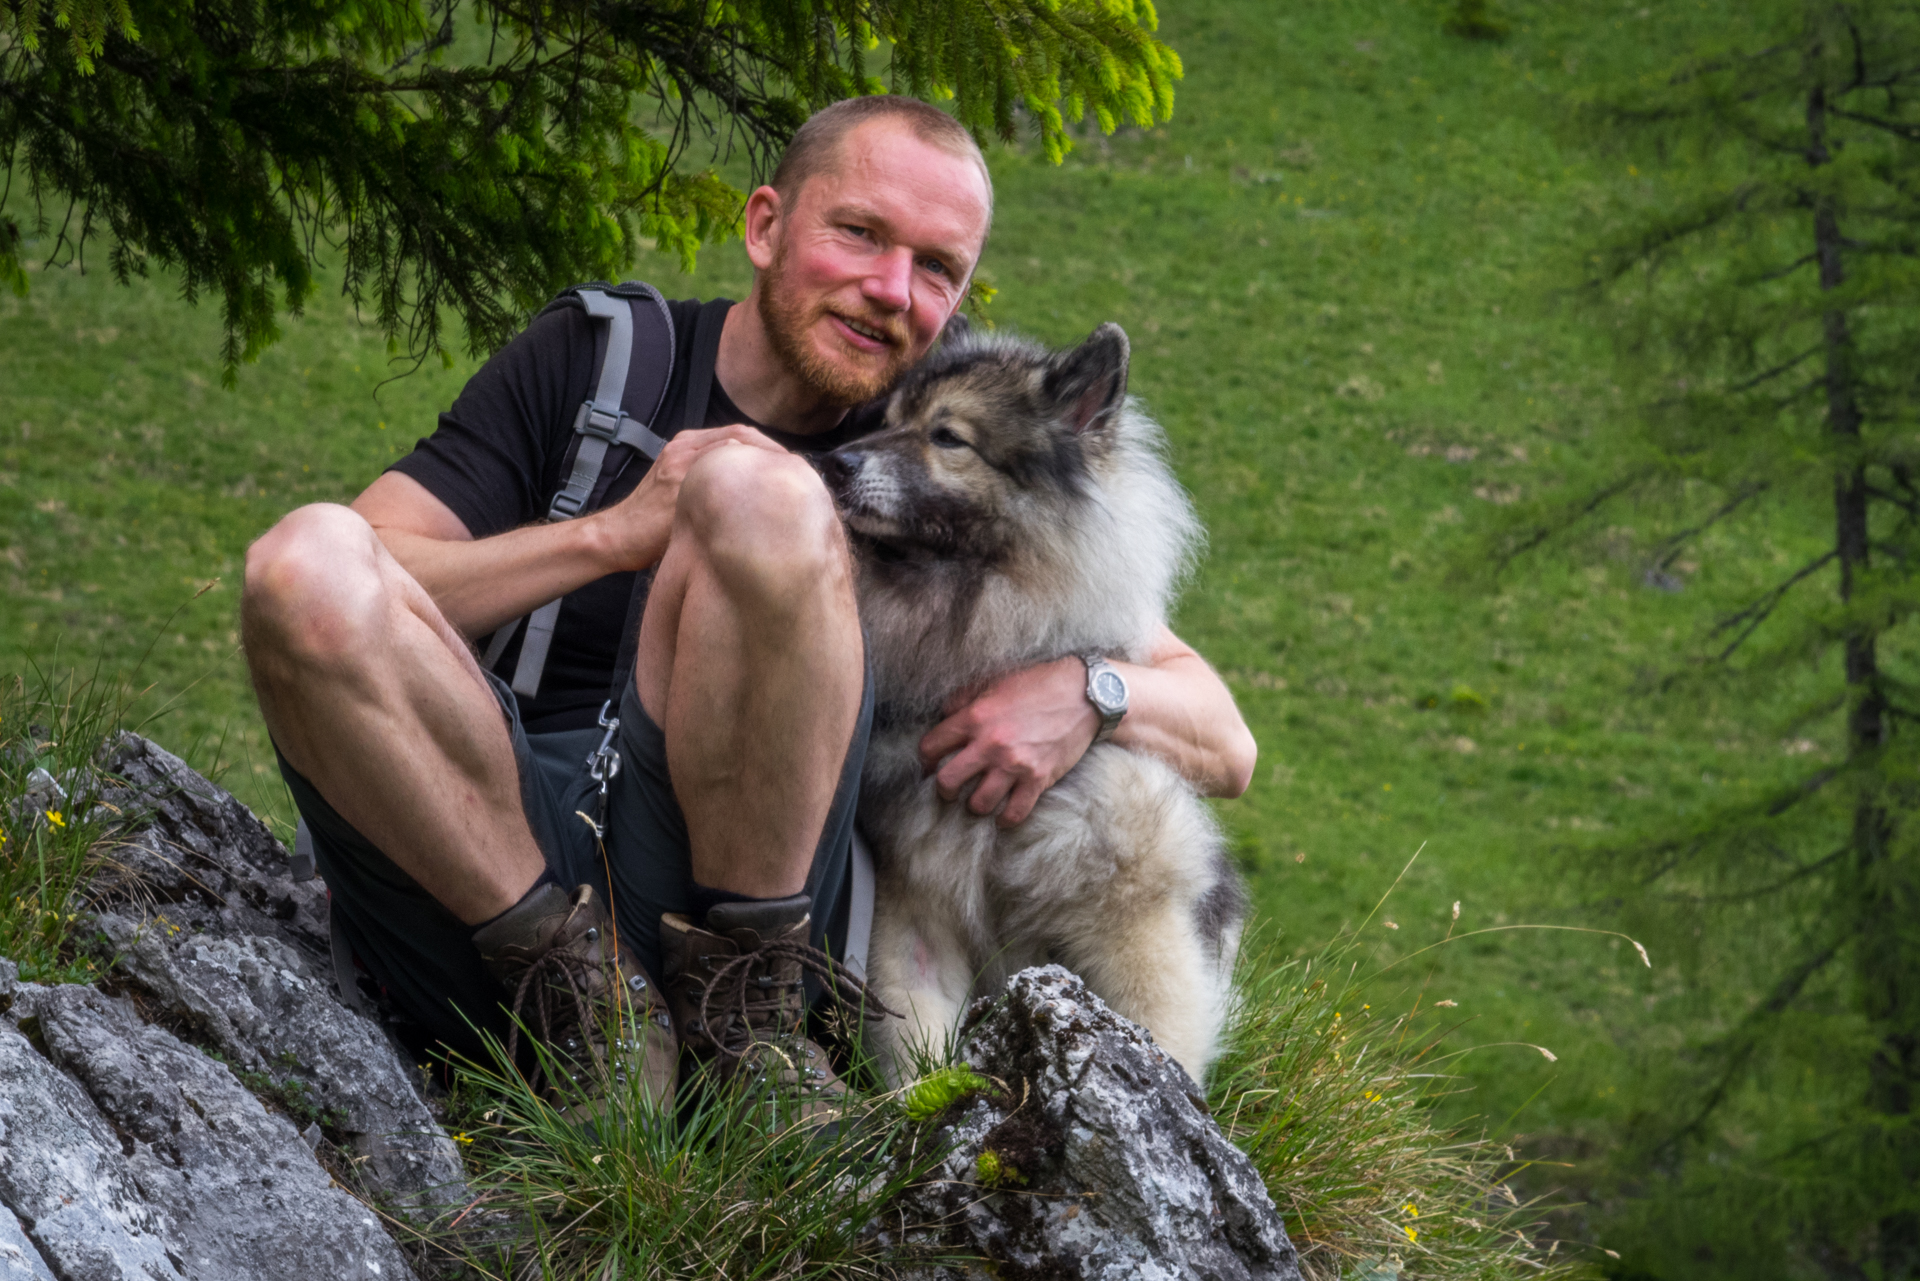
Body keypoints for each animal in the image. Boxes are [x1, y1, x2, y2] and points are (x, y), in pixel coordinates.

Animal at [821, 318, 1244, 1083]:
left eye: (948, 436)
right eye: (887, 419)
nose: (832, 462)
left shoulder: (1135, 925)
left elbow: (1160, 1034)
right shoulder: (913, 909)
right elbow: (921, 1047)